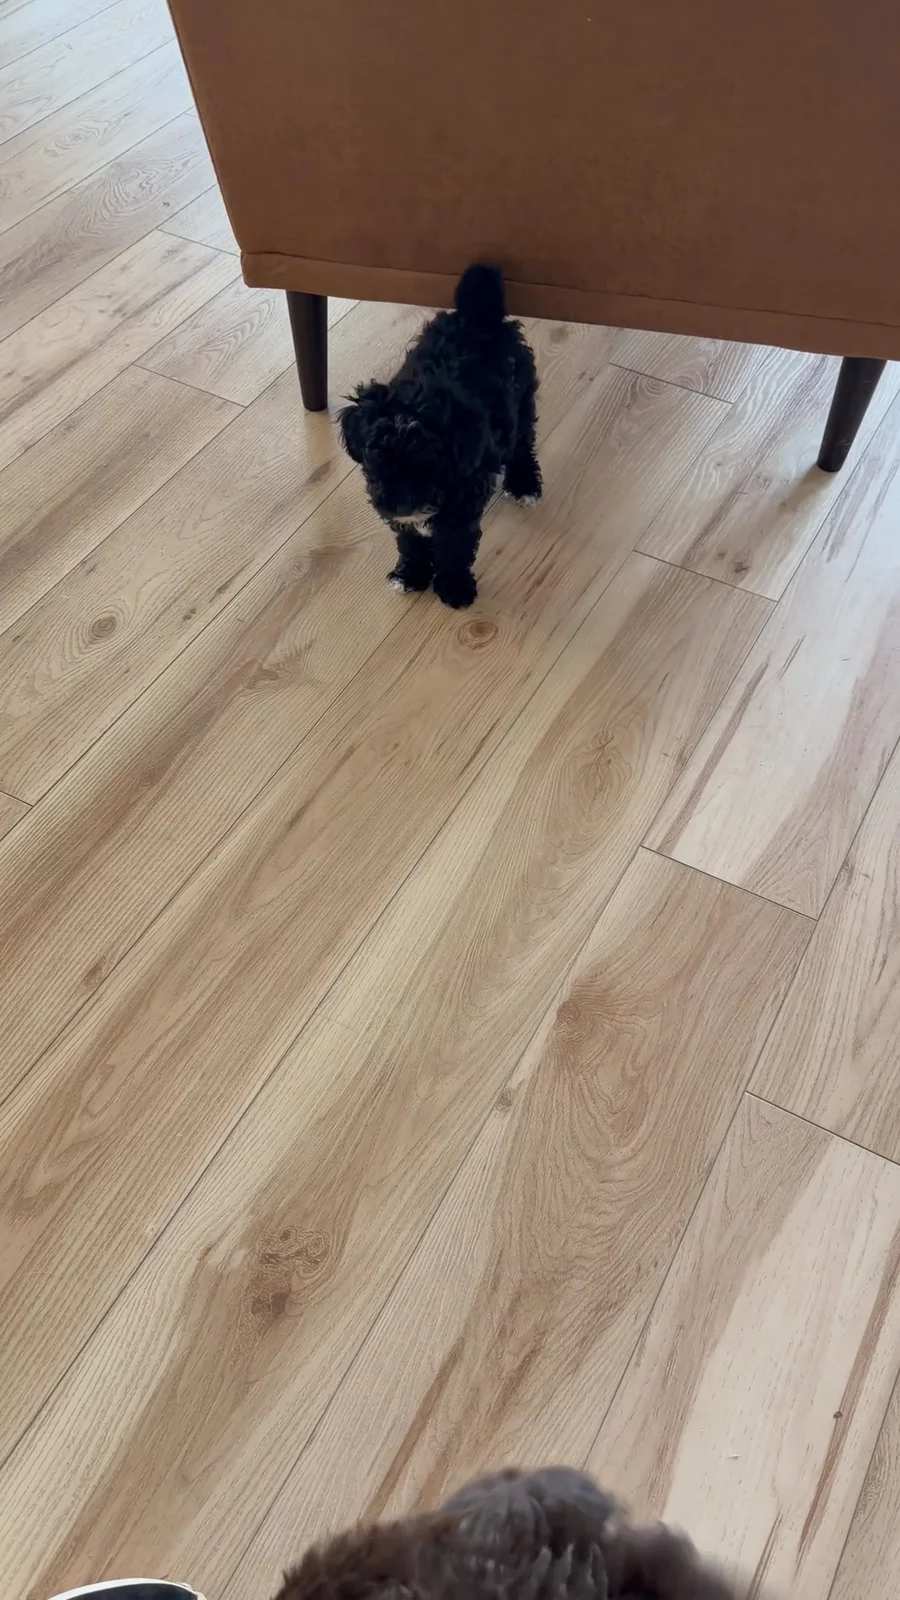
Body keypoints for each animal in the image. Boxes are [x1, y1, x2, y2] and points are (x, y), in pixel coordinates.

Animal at [338, 265, 542, 609]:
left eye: (426, 464)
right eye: (377, 459)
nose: (400, 503)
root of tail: (476, 316)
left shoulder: (461, 505)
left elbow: (454, 546)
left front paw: (454, 587)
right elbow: (410, 540)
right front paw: (410, 575)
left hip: (522, 398)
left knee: (522, 444)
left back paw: (524, 484)